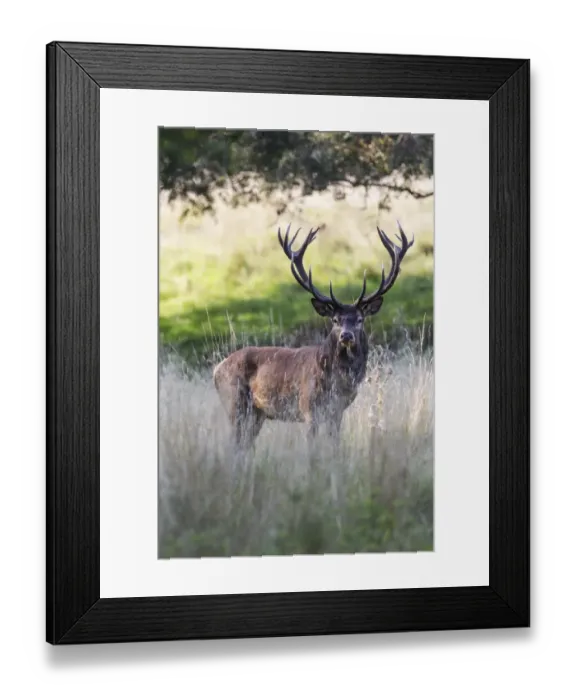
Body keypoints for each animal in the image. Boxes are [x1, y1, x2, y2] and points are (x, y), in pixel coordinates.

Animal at [213, 221, 414, 451]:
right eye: (335, 319)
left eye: (360, 319)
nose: (346, 336)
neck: (338, 383)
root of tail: (216, 369)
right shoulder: (308, 407)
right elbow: (312, 448)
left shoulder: (337, 411)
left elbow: (335, 444)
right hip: (234, 403)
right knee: (233, 445)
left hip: (257, 414)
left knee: (243, 447)